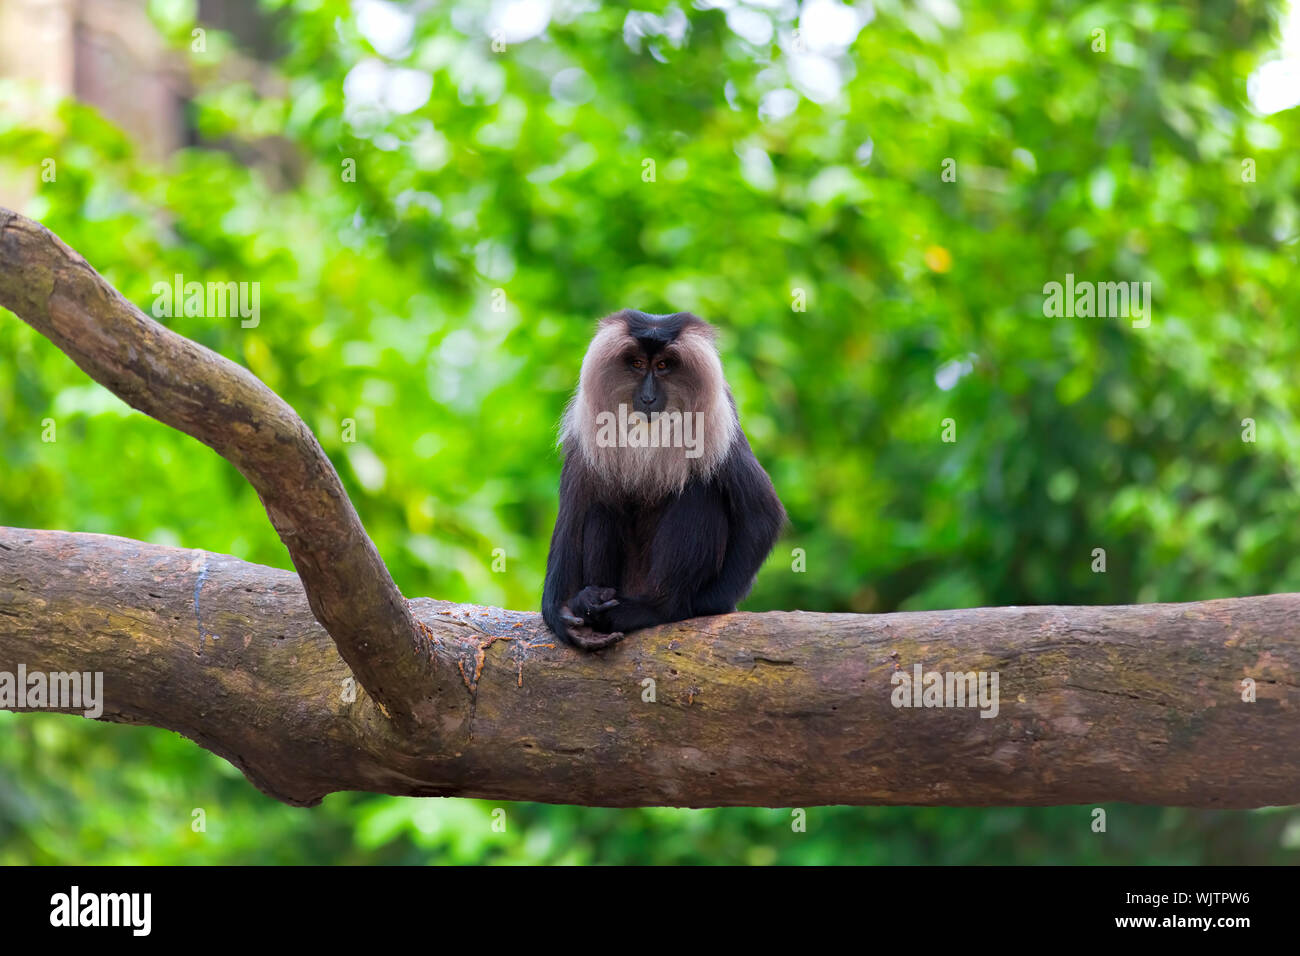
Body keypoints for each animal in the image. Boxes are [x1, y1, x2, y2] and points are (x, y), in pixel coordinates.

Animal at [542, 309, 786, 650]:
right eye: (637, 364)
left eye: (662, 366)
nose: (647, 397)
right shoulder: (585, 435)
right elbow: (574, 514)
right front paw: (560, 613)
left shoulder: (721, 427)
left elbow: (761, 512)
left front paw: (700, 606)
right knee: (601, 509)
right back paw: (591, 601)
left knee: (699, 492)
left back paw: (655, 608)